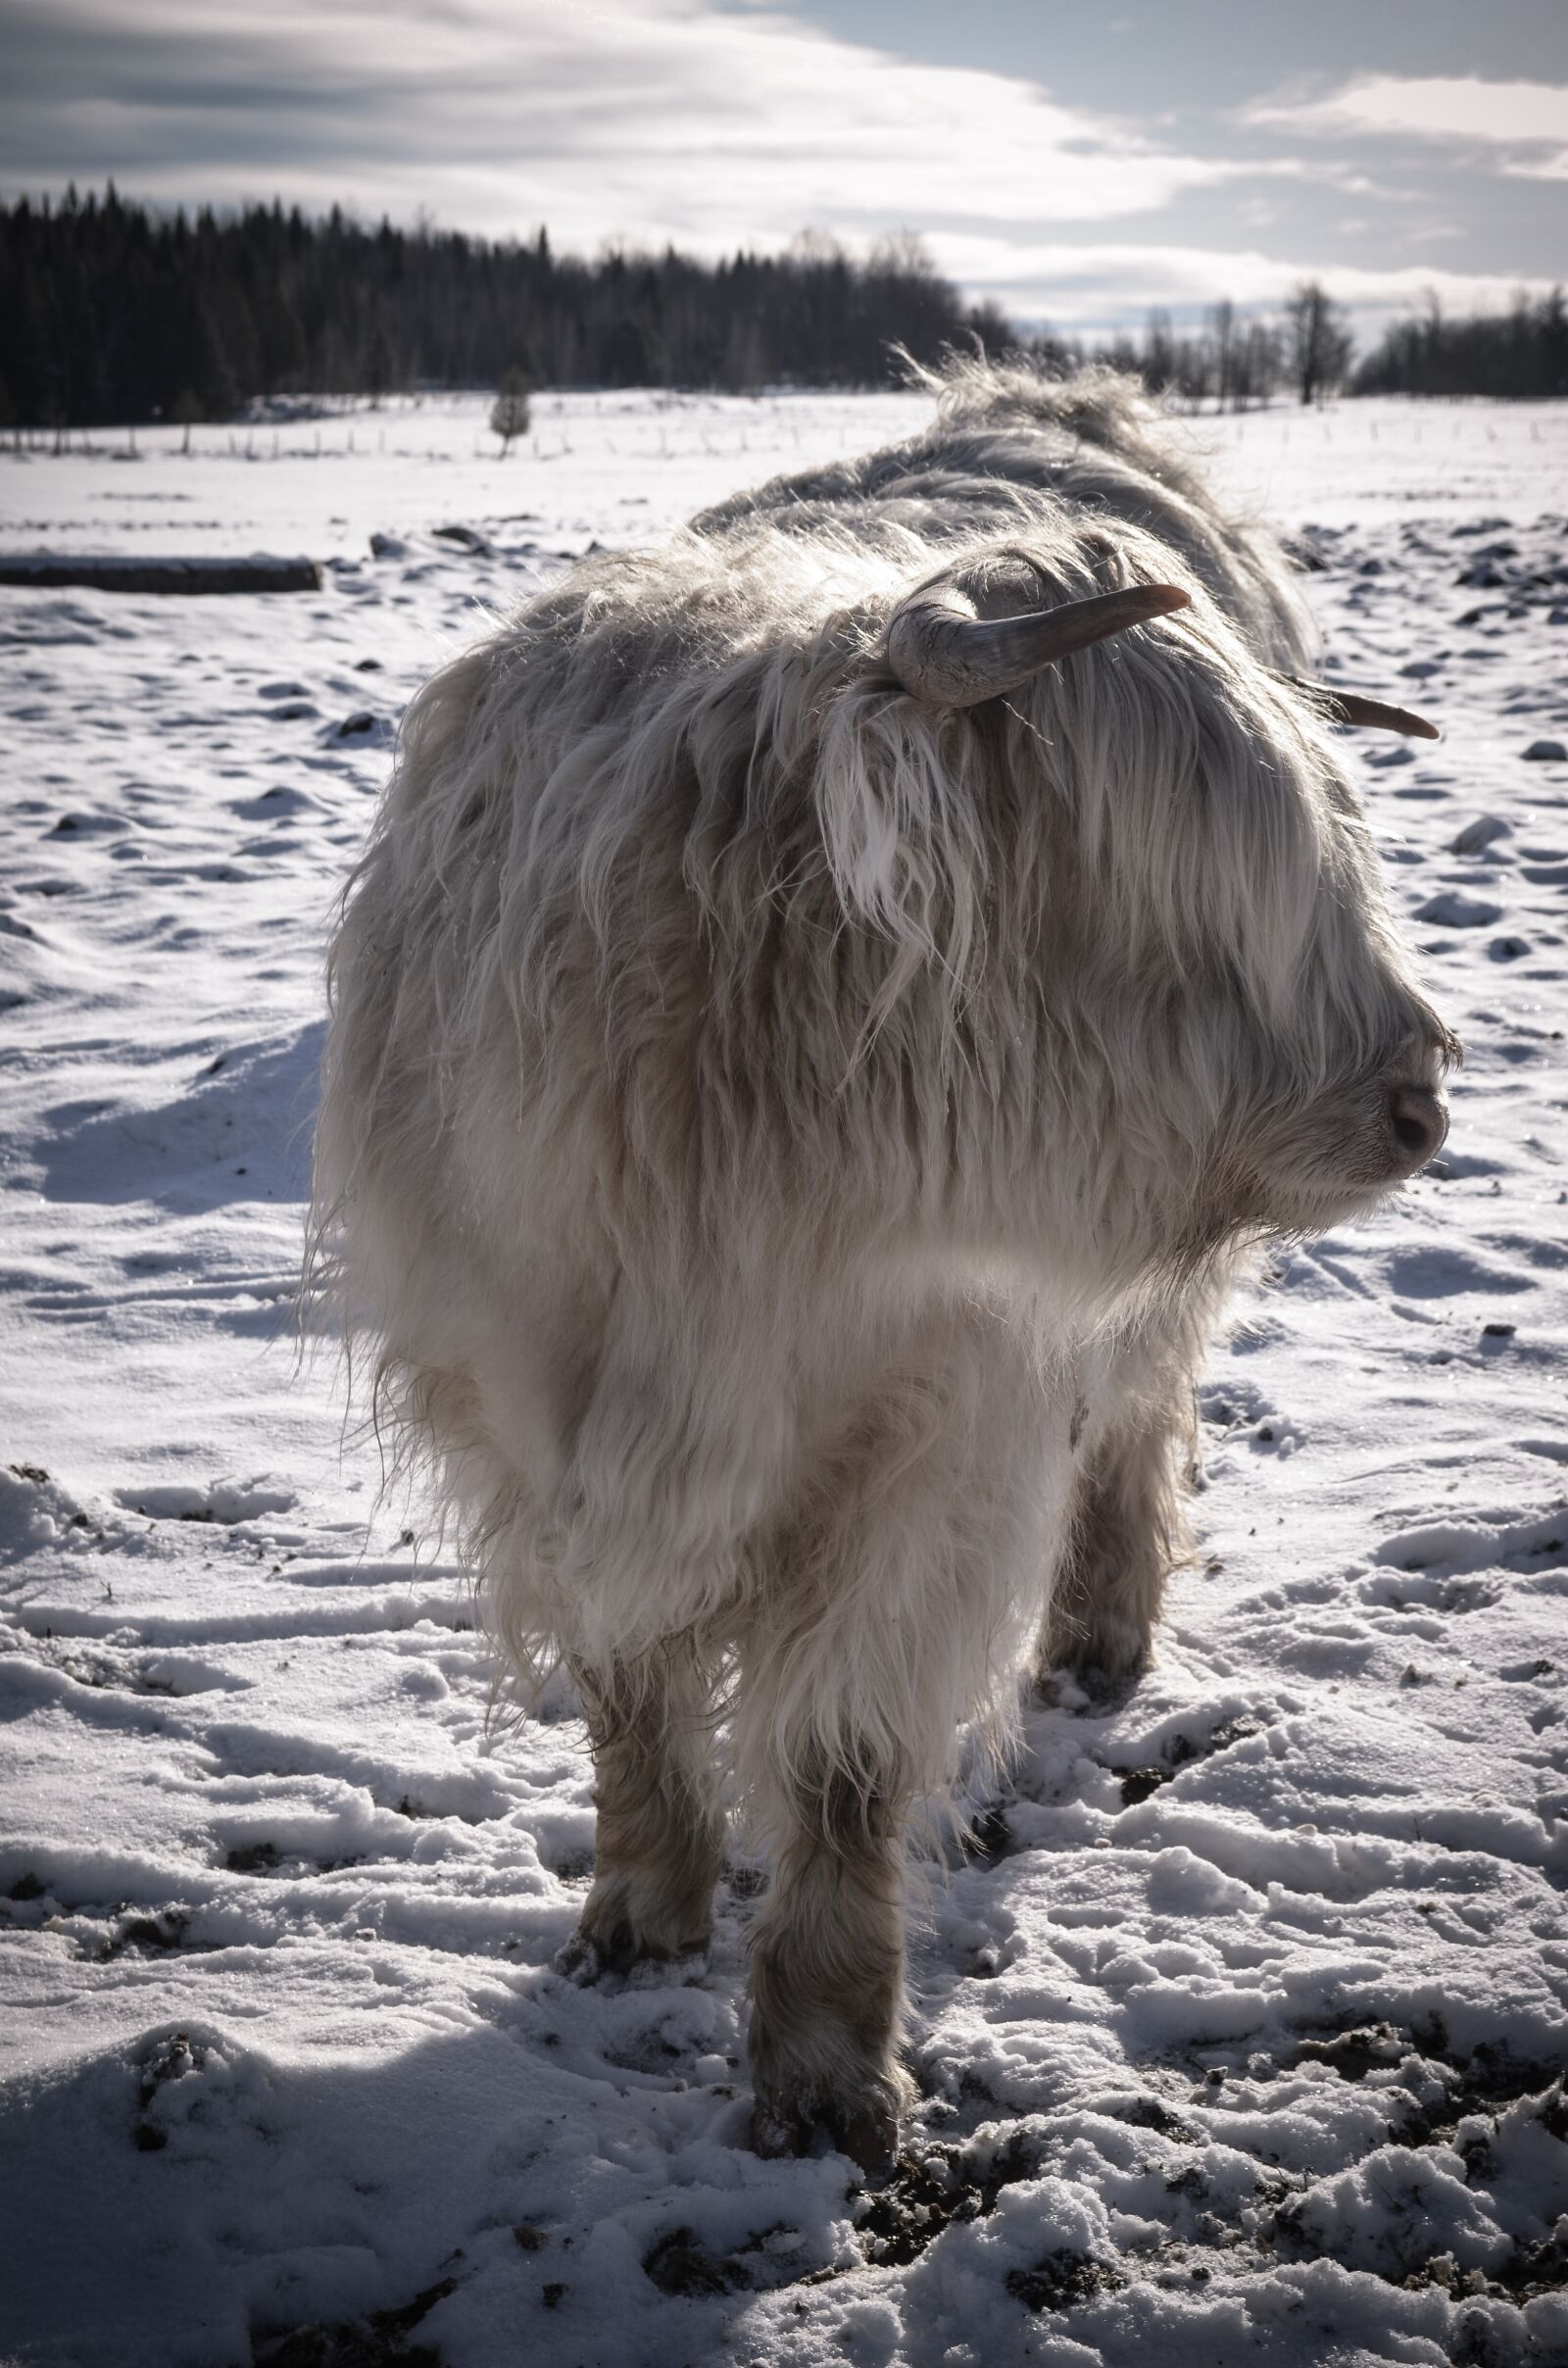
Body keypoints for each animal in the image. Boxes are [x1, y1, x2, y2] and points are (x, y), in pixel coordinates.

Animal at [312, 358, 1454, 2172]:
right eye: (1190, 885)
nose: (1422, 1093)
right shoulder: (530, 1411)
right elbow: (628, 1679)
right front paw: (641, 1908)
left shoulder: (944, 1438)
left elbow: (844, 1757)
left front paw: (825, 2064)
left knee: (1139, 1419)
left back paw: (1101, 1637)